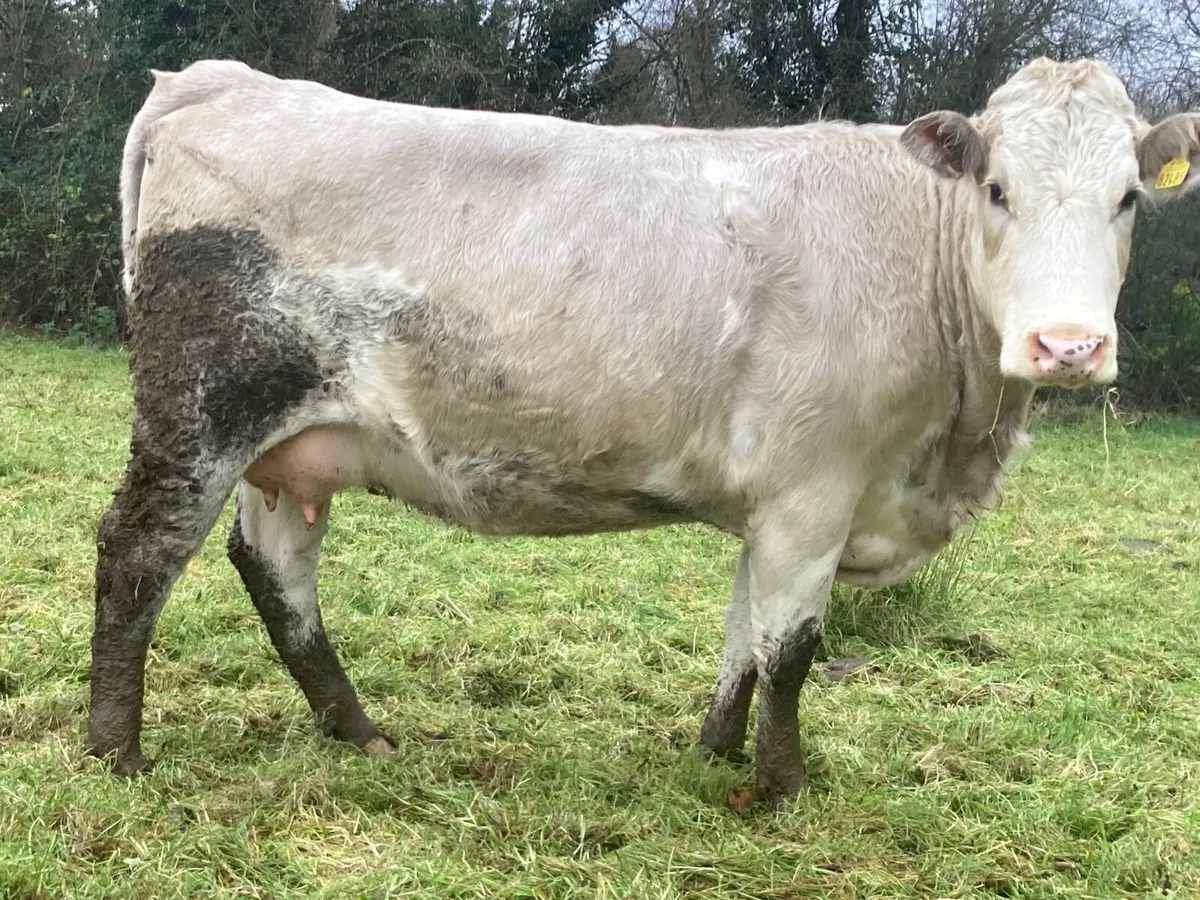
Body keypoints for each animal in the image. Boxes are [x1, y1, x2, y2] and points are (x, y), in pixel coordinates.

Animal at [85, 56, 1200, 809]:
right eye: (997, 190)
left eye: (1128, 199)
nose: (1067, 346)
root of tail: (220, 81)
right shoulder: (817, 488)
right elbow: (793, 649)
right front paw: (783, 789)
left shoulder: (779, 501)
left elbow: (745, 639)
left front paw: (715, 754)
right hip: (201, 411)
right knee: (138, 554)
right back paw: (114, 752)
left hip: (292, 446)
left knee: (277, 570)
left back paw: (358, 732)